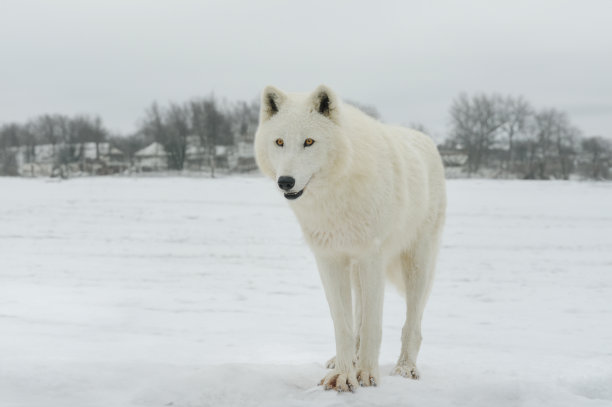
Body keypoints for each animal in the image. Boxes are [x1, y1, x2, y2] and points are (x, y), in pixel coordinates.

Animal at [253, 83, 444, 392]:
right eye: (279, 142)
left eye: (309, 141)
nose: (285, 182)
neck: (335, 196)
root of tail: (425, 139)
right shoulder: (329, 259)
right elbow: (343, 324)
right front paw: (343, 375)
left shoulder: (372, 258)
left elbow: (373, 326)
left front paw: (367, 375)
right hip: (356, 271)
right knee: (358, 321)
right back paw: (346, 361)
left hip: (417, 263)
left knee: (412, 324)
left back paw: (406, 368)